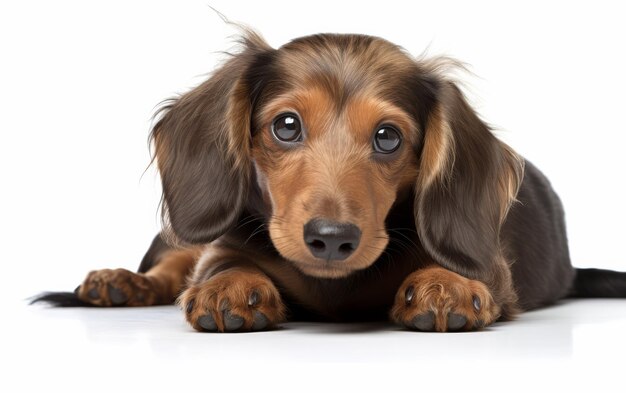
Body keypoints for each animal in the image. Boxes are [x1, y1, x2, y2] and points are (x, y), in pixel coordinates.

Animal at [34, 31, 626, 330]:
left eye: (388, 137)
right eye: (286, 125)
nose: (332, 239)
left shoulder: (497, 273)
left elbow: (467, 273)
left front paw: (447, 283)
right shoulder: (226, 240)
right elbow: (215, 264)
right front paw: (231, 286)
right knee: (173, 262)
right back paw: (119, 282)